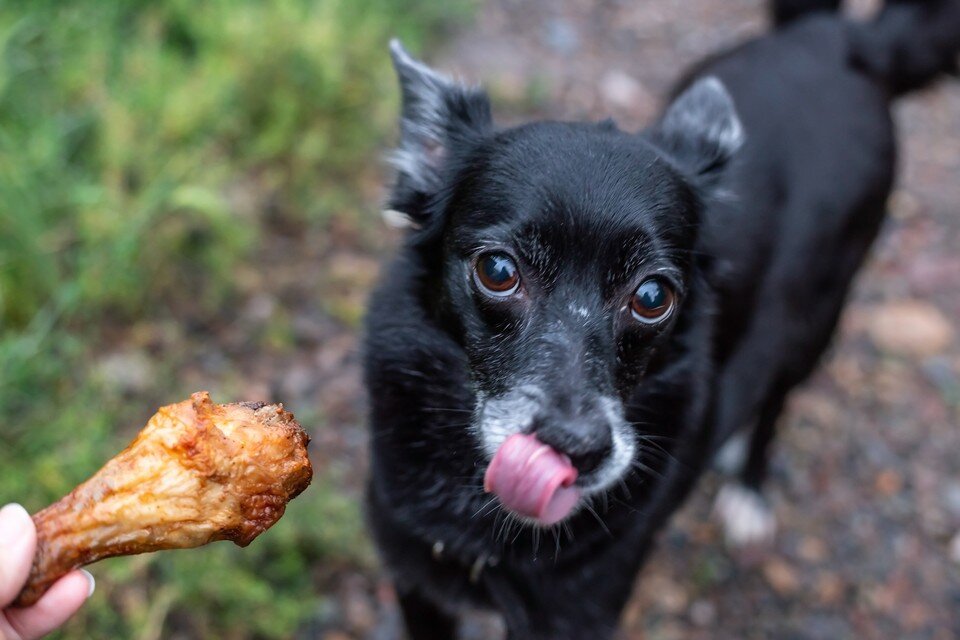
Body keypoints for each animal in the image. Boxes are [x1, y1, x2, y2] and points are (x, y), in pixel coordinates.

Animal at [362, 2, 960, 636]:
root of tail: (844, 39)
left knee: (777, 398)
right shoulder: (419, 585)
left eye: (652, 296)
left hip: (816, 321)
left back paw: (749, 491)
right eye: (497, 270)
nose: (577, 450)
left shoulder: (576, 612)